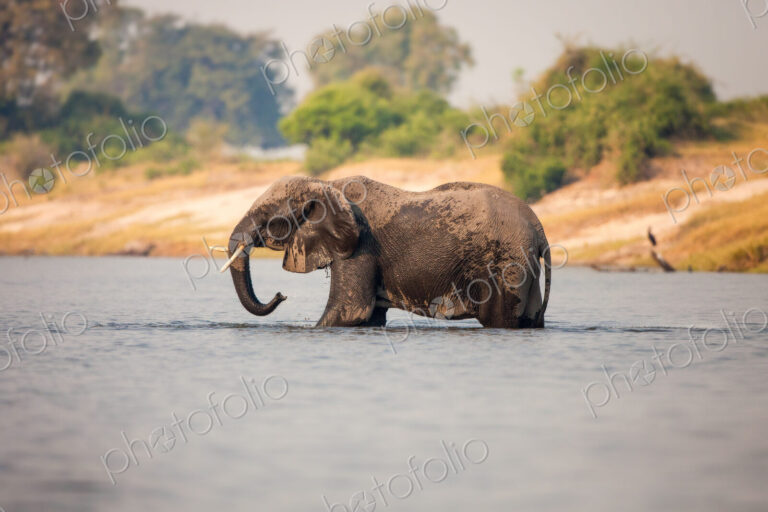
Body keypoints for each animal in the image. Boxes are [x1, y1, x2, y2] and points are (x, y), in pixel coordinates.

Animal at [222, 175, 552, 328]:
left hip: (508, 264)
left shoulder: (361, 247)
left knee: (500, 320)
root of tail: (540, 230)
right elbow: (368, 317)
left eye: (269, 220)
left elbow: (348, 312)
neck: (326, 185)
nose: (281, 295)